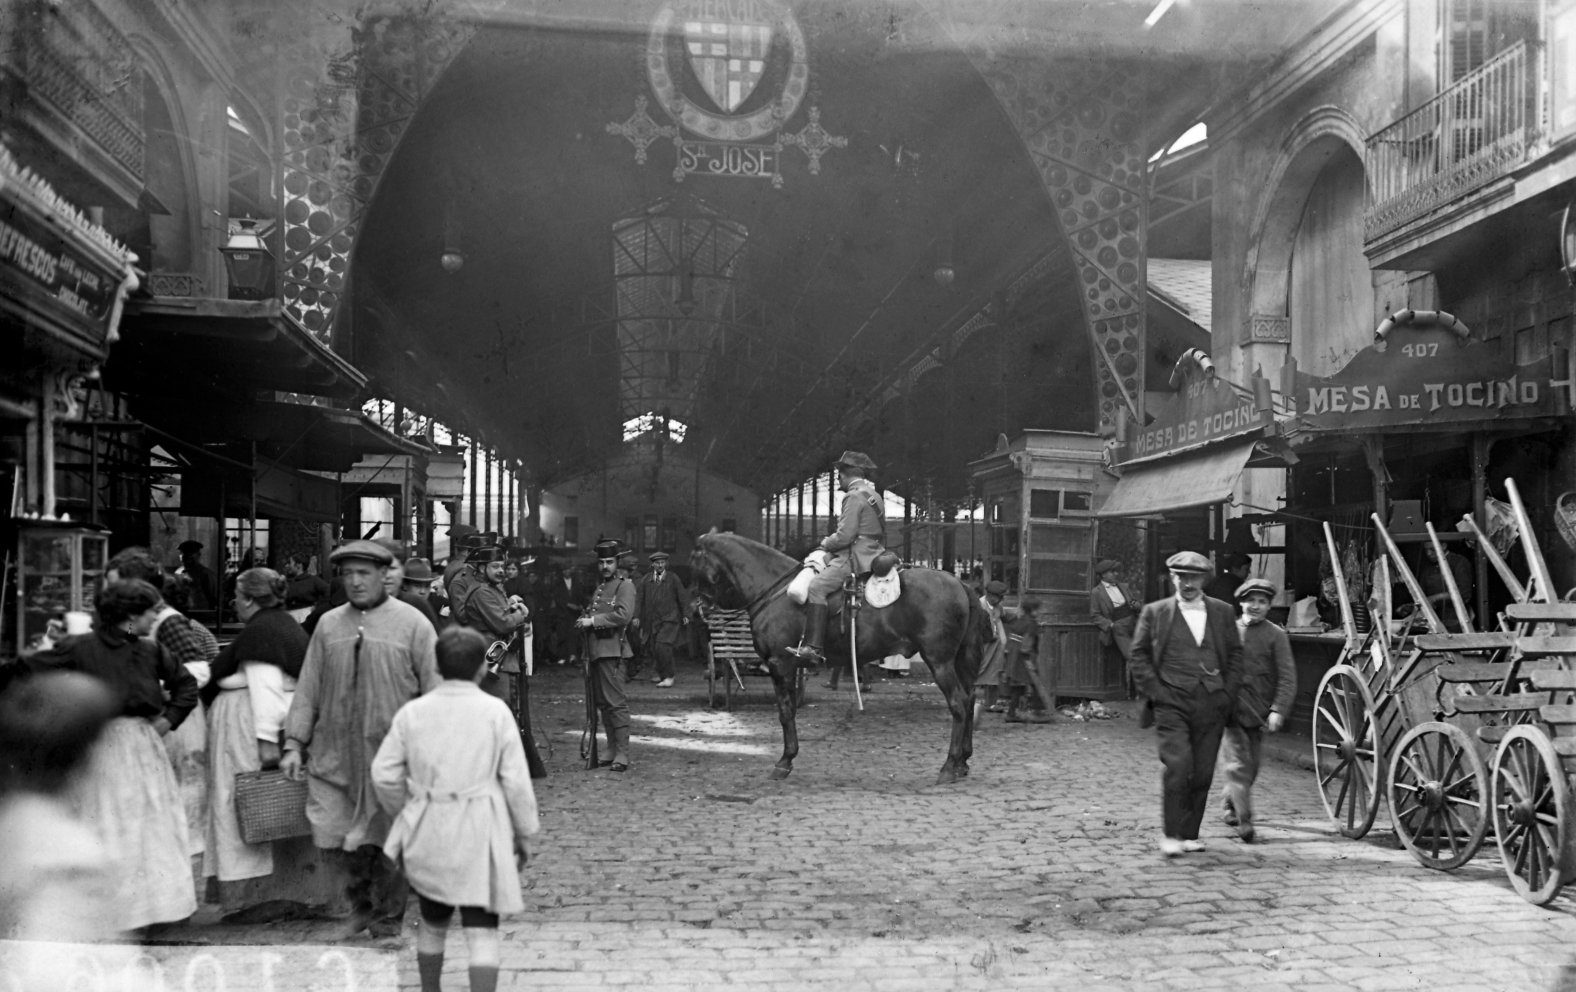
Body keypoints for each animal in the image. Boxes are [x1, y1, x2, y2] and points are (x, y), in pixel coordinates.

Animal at [693, 529, 983, 785]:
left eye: (694, 560)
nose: (698, 608)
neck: (775, 589)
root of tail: (959, 582)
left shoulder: (780, 664)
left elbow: (785, 712)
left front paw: (784, 761)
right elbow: (790, 710)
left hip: (940, 661)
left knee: (958, 703)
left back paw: (949, 766)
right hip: (957, 662)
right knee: (969, 699)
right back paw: (963, 762)